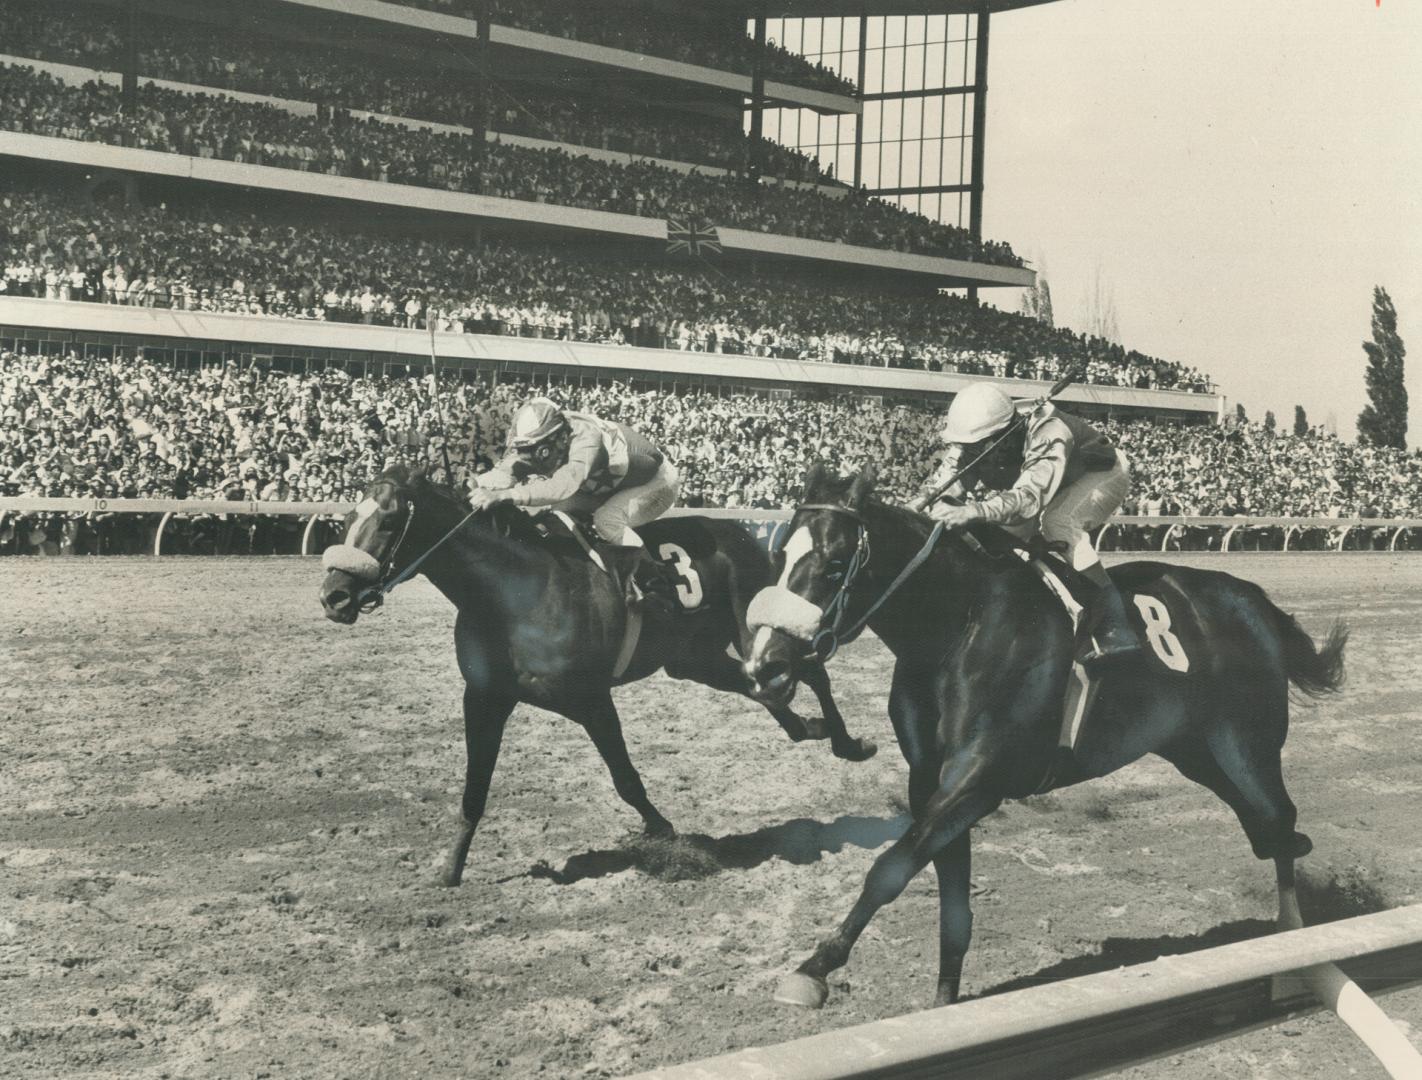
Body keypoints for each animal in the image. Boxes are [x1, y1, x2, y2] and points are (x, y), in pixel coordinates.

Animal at [321, 463, 870, 887]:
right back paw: (806, 726)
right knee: (761, 686)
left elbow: (625, 777)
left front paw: (662, 830)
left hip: (757, 627)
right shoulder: (483, 697)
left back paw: (848, 742)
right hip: (693, 660)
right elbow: (474, 787)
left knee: (807, 670)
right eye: (347, 518)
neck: (513, 589)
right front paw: (450, 868)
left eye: (390, 521)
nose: (334, 596)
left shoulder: (590, 698)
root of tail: (747, 534)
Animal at [745, 463, 1342, 1013]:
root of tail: (1255, 599)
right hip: (1195, 750)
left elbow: (890, 868)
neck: (959, 624)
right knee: (1266, 828)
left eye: (834, 565)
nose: (765, 664)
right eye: (778, 558)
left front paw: (813, 968)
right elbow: (950, 898)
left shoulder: (983, 779)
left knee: (1278, 818)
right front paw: (942, 1005)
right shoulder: (931, 781)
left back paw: (1293, 951)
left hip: (1247, 743)